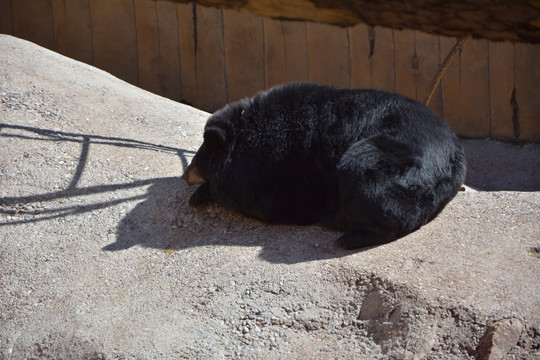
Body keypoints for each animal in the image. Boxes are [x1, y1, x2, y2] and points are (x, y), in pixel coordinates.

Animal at [180, 82, 464, 249]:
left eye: (202, 154)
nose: (185, 174)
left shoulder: (289, 165)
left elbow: (275, 202)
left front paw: (203, 193)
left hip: (390, 165)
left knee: (363, 174)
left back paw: (348, 236)